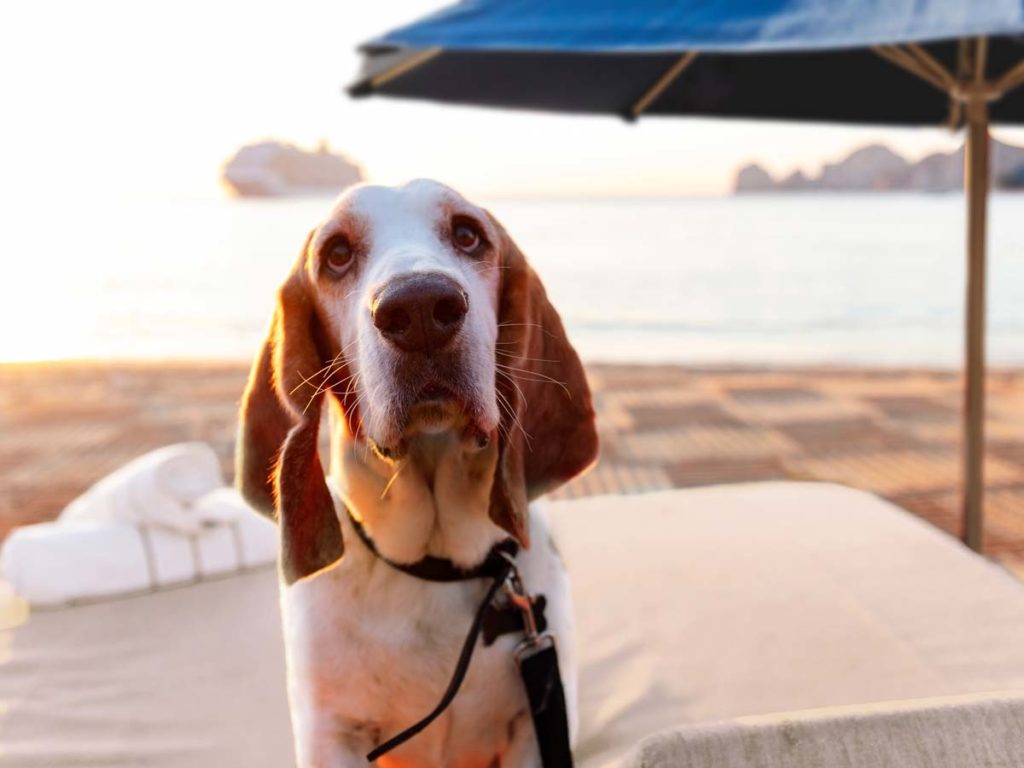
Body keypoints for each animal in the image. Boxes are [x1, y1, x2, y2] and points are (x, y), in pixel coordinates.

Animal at [235, 182, 598, 768]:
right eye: (337, 254)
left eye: (468, 235)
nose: (421, 306)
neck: (434, 562)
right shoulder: (331, 735)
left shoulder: (534, 725)